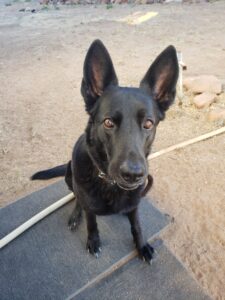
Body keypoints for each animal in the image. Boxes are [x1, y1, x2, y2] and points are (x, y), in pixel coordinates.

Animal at [32, 39, 179, 262]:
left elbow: (137, 225)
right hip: (69, 173)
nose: (133, 174)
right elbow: (91, 222)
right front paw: (93, 240)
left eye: (148, 123)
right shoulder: (89, 205)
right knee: (77, 197)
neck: (109, 183)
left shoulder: (135, 204)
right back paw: (75, 215)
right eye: (109, 122)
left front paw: (142, 245)